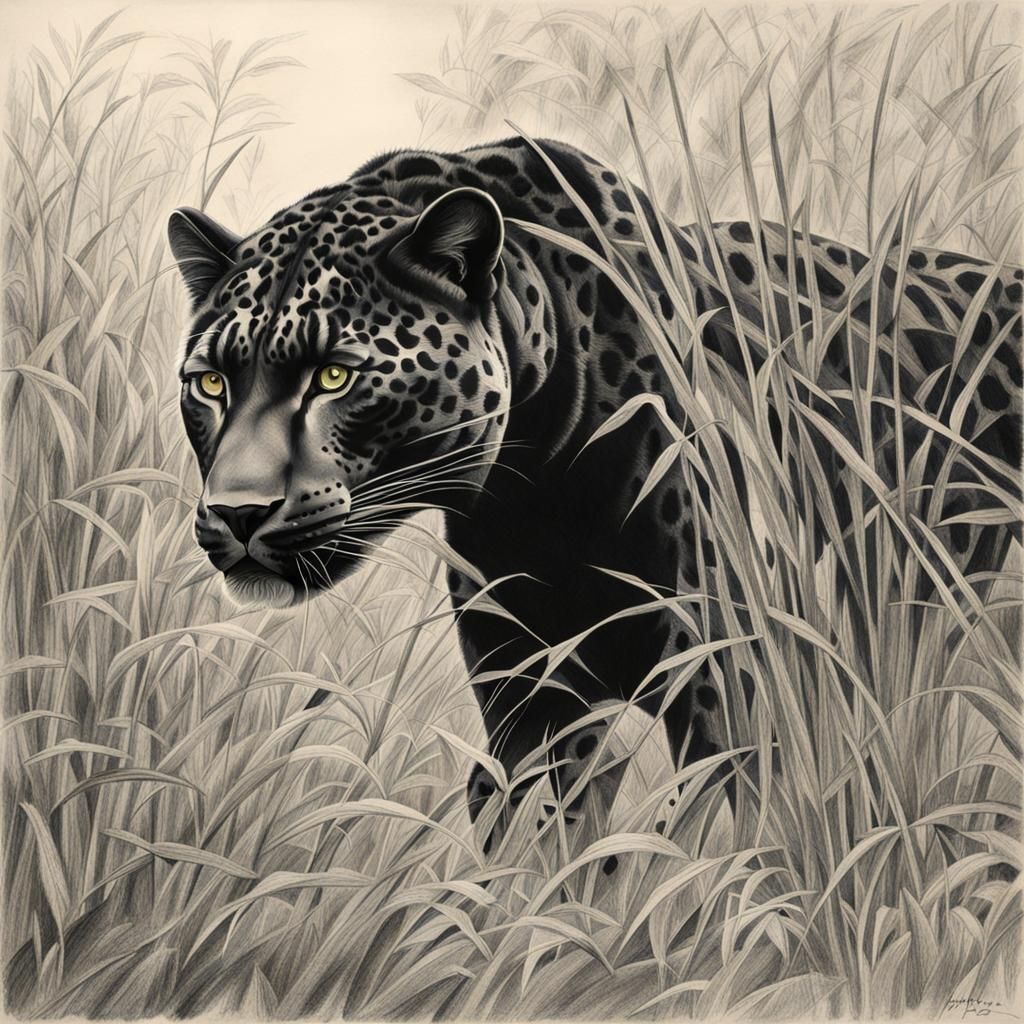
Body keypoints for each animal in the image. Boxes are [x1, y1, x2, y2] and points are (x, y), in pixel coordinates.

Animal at [169, 136, 1022, 853]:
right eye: (210, 383)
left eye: (335, 375)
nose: (236, 514)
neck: (532, 490)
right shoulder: (530, 698)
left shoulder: (730, 690)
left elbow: (715, 853)